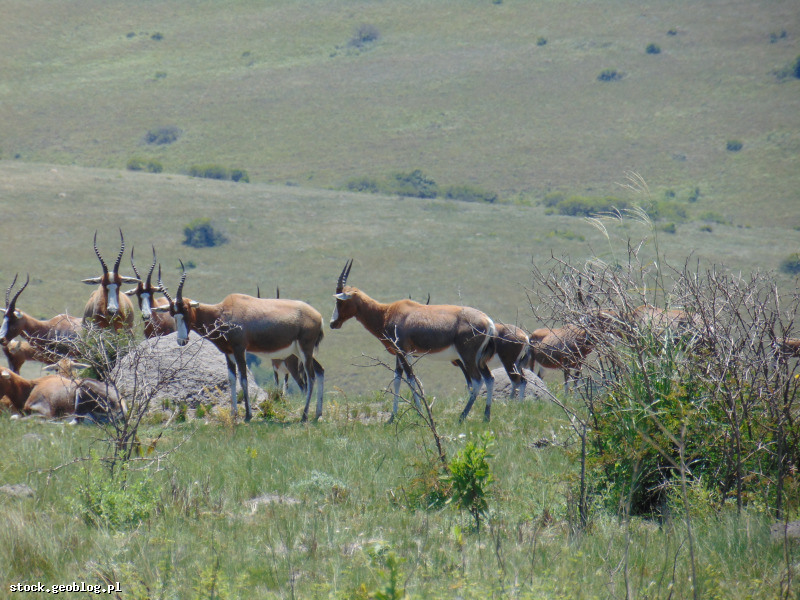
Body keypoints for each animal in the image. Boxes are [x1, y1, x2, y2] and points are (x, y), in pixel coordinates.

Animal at [156, 264, 325, 422]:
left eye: (185, 309)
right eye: (172, 313)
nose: (182, 340)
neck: (224, 310)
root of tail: (318, 316)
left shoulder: (239, 349)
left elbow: (243, 379)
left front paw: (248, 415)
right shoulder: (229, 353)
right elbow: (232, 379)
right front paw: (234, 414)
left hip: (305, 349)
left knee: (311, 377)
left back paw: (304, 416)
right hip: (300, 351)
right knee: (320, 371)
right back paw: (318, 414)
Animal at [329, 259, 496, 422]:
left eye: (340, 301)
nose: (332, 323)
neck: (388, 311)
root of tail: (488, 321)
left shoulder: (403, 351)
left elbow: (410, 379)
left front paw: (420, 413)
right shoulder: (400, 354)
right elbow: (398, 379)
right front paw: (392, 417)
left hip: (467, 357)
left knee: (477, 380)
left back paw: (462, 417)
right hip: (479, 359)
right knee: (489, 378)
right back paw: (486, 417)